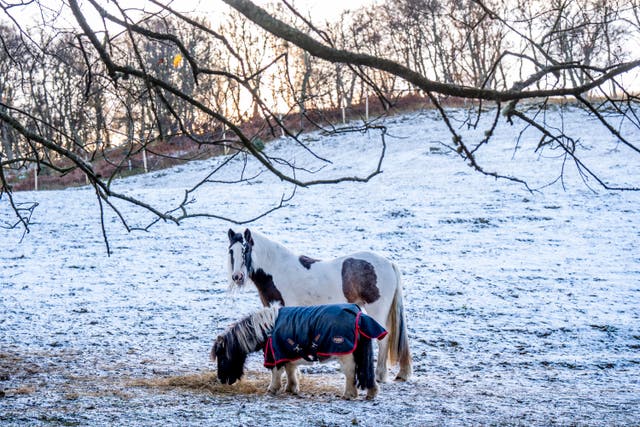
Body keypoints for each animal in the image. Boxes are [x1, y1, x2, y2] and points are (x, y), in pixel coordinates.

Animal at [212, 302, 388, 400]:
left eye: (222, 358)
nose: (221, 379)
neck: (267, 329)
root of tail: (358, 315)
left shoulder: (276, 355)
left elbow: (276, 373)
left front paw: (272, 389)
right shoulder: (287, 353)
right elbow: (290, 371)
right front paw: (291, 388)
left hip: (346, 355)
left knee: (350, 373)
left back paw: (349, 394)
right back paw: (371, 393)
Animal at [228, 229, 412, 382]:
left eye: (245, 250)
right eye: (231, 251)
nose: (237, 276)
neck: (277, 269)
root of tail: (389, 264)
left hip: (377, 310)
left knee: (384, 339)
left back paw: (380, 376)